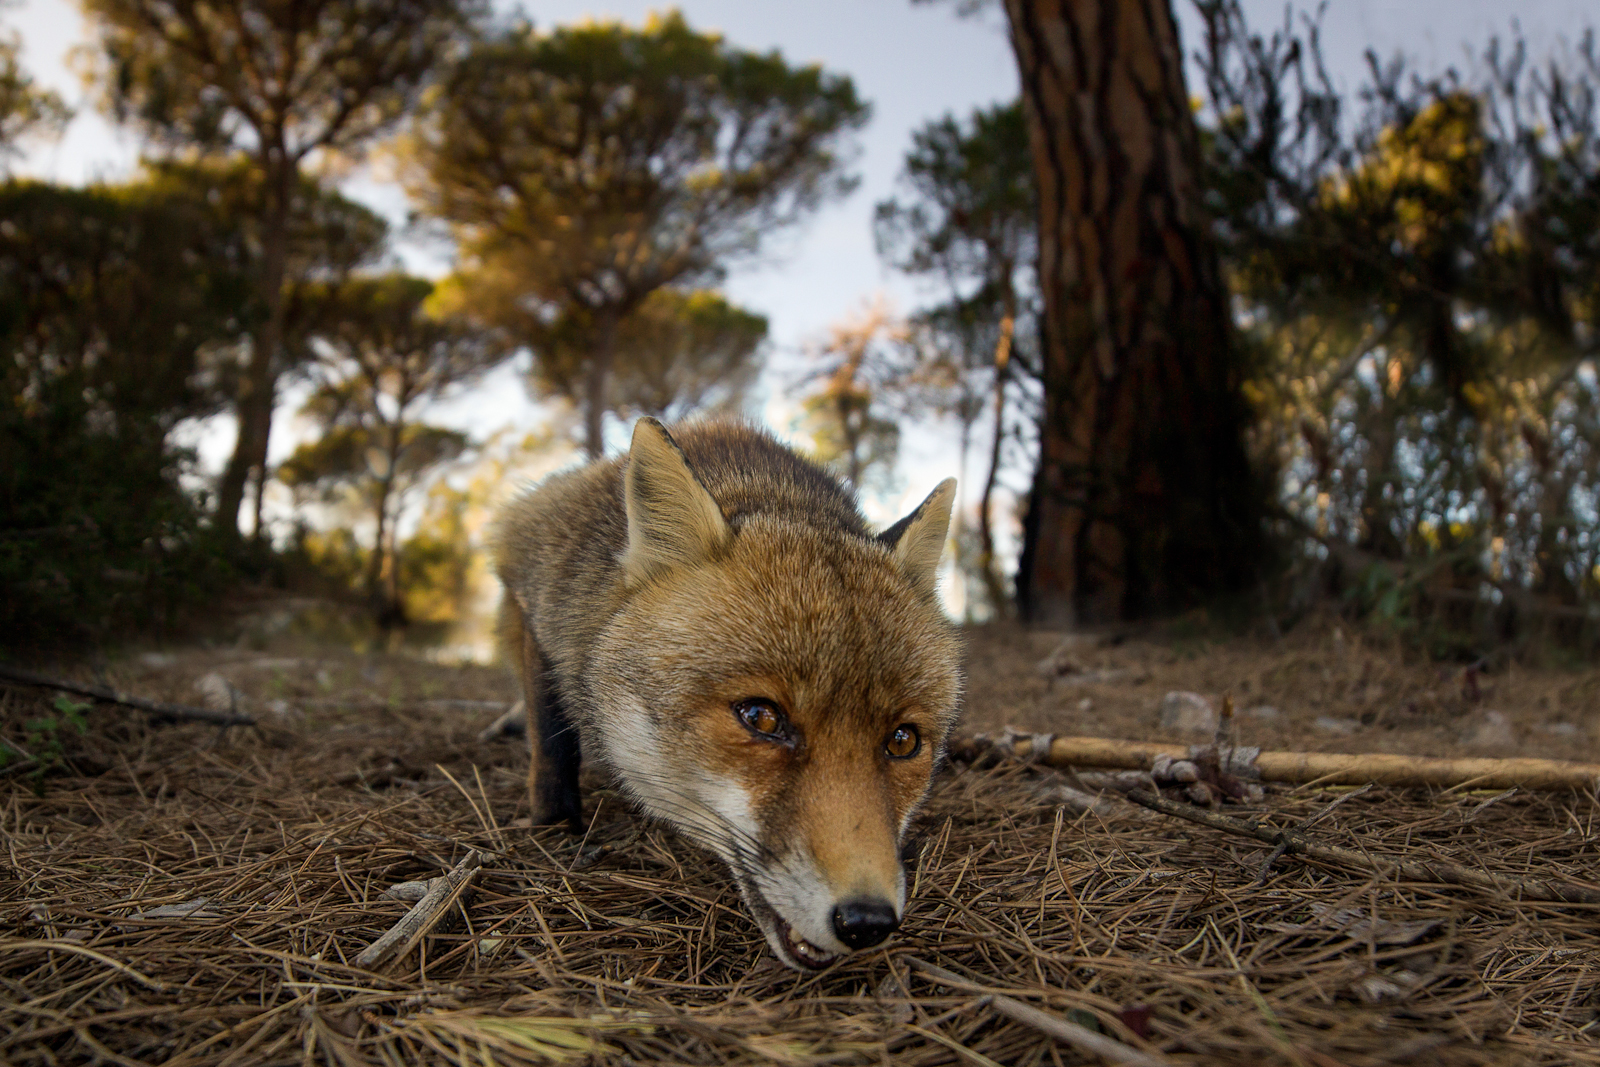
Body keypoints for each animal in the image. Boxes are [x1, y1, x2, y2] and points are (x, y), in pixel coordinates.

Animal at [492, 417, 961, 971]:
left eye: (903, 741)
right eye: (761, 717)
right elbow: (552, 743)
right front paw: (553, 825)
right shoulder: (536, 600)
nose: (866, 921)